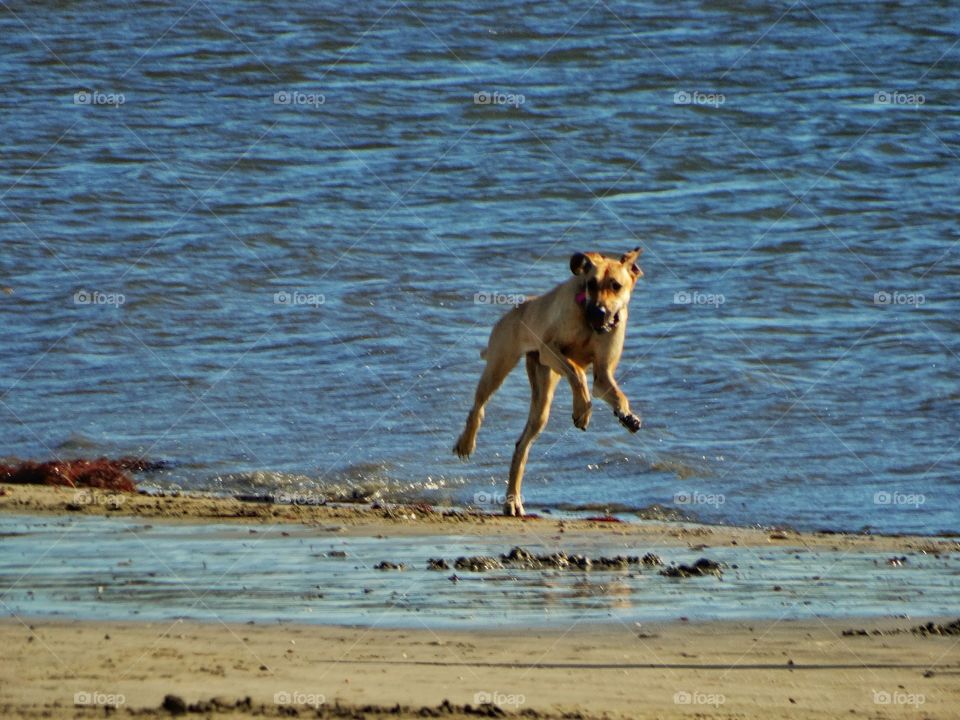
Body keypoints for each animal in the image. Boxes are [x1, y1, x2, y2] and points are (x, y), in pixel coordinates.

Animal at [452, 250, 644, 516]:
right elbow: (577, 373)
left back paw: (513, 501)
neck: (588, 324)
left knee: (521, 447)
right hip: (499, 366)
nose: (598, 312)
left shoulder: (603, 374)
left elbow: (612, 391)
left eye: (616, 285)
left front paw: (626, 415)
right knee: (478, 407)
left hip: (541, 400)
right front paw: (582, 409)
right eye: (591, 283)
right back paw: (467, 443)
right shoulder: (549, 350)